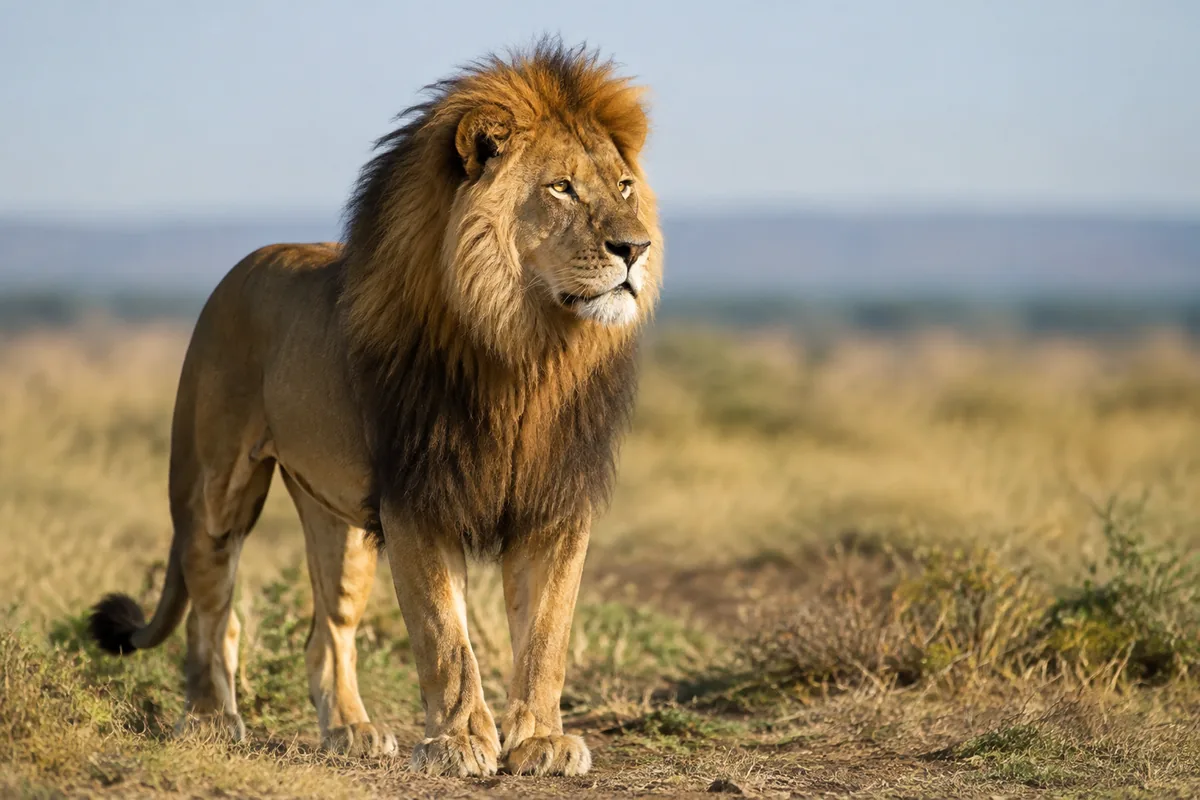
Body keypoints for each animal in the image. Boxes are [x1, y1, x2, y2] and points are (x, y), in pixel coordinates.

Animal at [87, 41, 660, 778]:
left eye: (624, 188)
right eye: (561, 188)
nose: (635, 248)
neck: (527, 347)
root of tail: (241, 268)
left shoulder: (555, 501)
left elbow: (546, 636)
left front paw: (539, 741)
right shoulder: (418, 497)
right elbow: (446, 638)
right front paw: (458, 743)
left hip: (341, 524)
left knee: (324, 632)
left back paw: (351, 731)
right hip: (215, 490)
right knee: (212, 605)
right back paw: (213, 720)